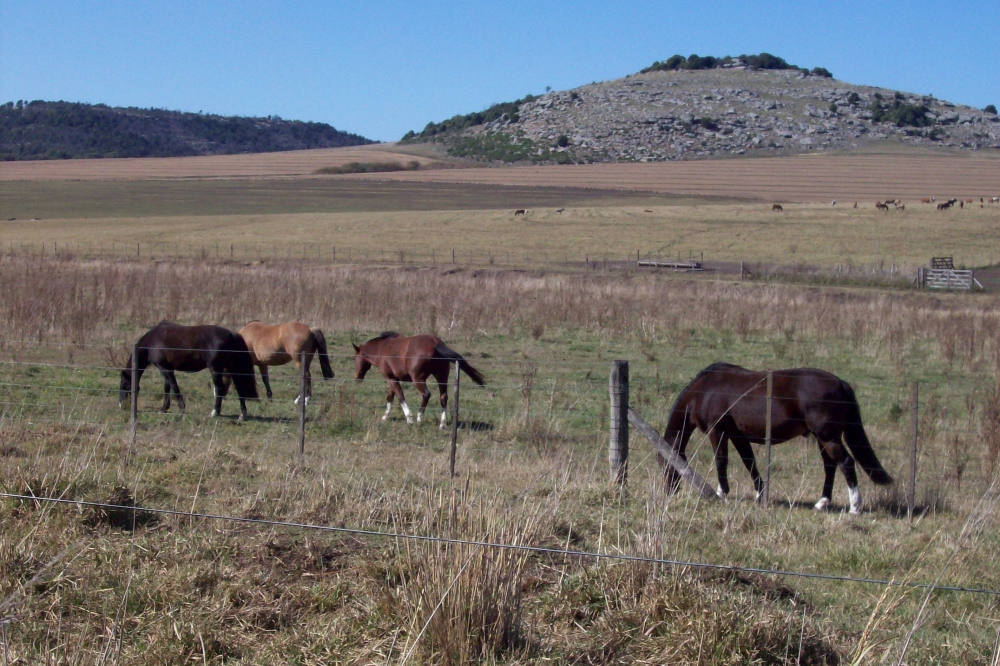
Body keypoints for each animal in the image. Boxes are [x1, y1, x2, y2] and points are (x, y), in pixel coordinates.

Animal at [119, 320, 258, 418]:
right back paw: (243, 414)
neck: (153, 340)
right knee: (239, 389)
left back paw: (214, 412)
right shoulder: (168, 368)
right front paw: (163, 409)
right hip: (232, 369)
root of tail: (231, 334)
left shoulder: (164, 369)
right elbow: (167, 388)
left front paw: (181, 409)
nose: (122, 406)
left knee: (220, 388)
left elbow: (174, 387)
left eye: (124, 384)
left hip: (216, 370)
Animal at [354, 330, 486, 428]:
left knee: (426, 394)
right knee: (443, 397)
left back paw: (419, 417)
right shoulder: (392, 379)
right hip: (441, 377)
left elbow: (400, 396)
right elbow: (390, 397)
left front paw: (409, 418)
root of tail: (435, 343)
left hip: (418, 379)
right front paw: (385, 417)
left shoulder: (391, 379)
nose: (356, 378)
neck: (382, 348)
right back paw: (442, 424)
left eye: (355, 359)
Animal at [664, 364, 892, 512]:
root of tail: (841, 383)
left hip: (828, 437)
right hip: (823, 438)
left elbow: (721, 461)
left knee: (845, 463)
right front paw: (759, 495)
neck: (705, 391)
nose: (668, 491)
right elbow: (749, 462)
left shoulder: (717, 431)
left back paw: (855, 506)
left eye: (665, 463)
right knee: (830, 466)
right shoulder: (738, 436)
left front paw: (721, 493)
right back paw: (822, 502)